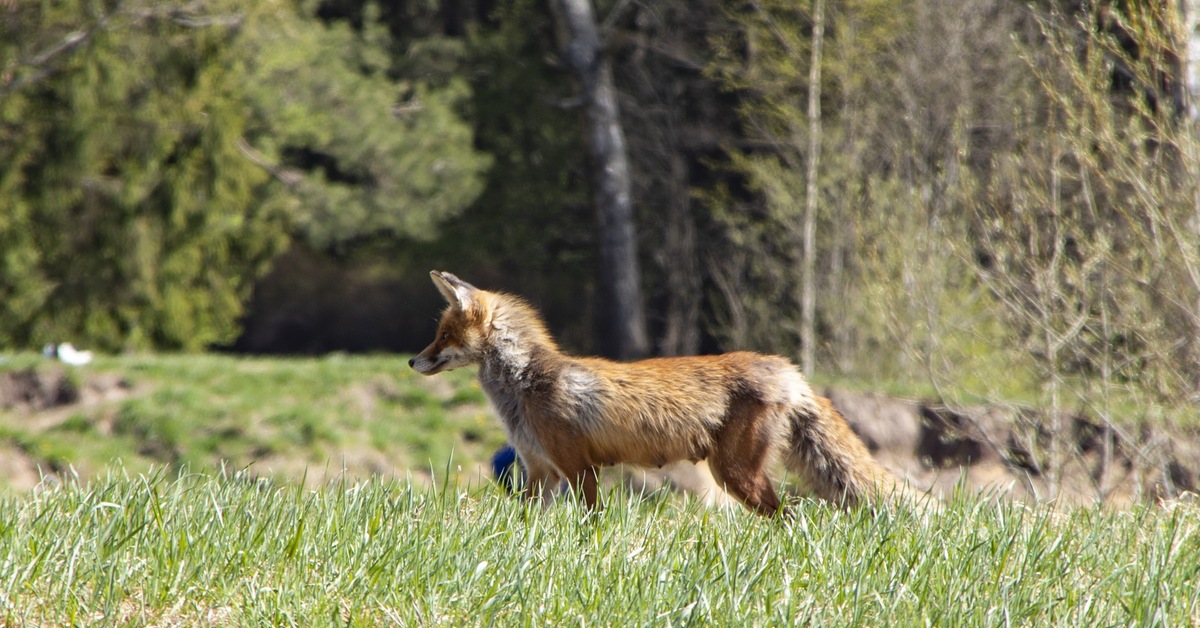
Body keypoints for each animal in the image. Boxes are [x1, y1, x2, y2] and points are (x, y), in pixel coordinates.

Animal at [410, 270, 907, 516]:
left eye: (443, 335)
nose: (412, 362)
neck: (526, 385)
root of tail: (789, 369)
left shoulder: (579, 468)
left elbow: (591, 522)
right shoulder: (540, 471)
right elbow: (521, 523)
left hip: (734, 474)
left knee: (786, 517)